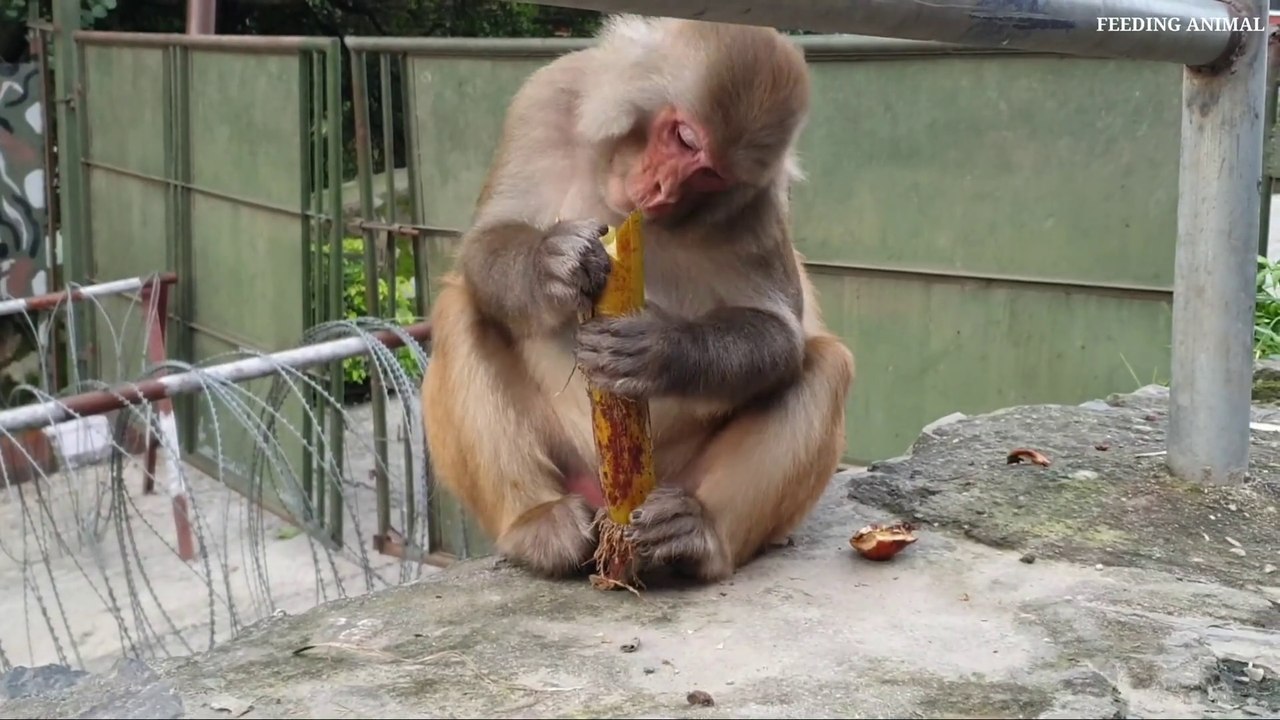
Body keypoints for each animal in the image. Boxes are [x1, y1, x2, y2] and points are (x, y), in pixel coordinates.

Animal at [420, 14, 855, 583]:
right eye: (684, 138)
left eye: (711, 174)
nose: (662, 189)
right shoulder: (546, 101)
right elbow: (486, 241)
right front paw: (551, 264)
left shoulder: (757, 198)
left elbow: (780, 333)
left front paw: (661, 351)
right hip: (570, 465)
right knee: (462, 309)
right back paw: (538, 521)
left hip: (679, 479)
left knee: (825, 362)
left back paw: (698, 534)